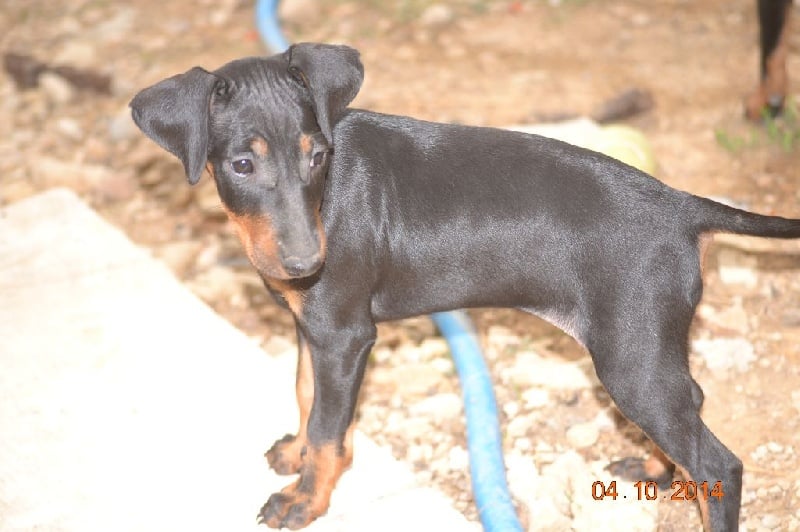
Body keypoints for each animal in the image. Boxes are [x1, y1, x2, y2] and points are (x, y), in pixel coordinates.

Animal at [130, 43, 800, 530]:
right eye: (242, 165)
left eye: (317, 156)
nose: (305, 262)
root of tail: (684, 208)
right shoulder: (310, 327)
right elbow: (305, 396)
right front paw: (294, 455)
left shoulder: (343, 335)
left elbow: (329, 430)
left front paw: (304, 499)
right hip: (648, 346)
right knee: (692, 405)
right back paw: (660, 469)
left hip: (629, 354)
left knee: (720, 462)